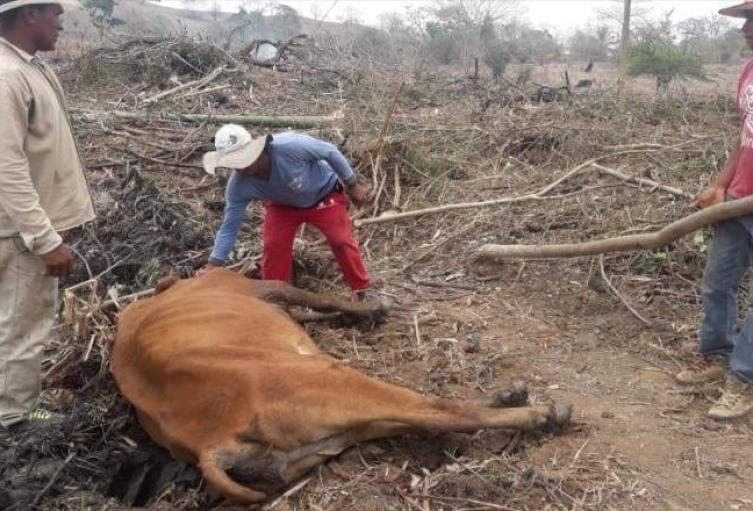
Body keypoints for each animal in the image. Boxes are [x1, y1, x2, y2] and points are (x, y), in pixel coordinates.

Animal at [110, 272, 568, 504]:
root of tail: (211, 442)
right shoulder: (261, 284)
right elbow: (321, 297)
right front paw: (371, 308)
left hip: (323, 436)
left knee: (417, 419)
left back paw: (512, 399)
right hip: (338, 381)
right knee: (438, 411)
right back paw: (540, 412)